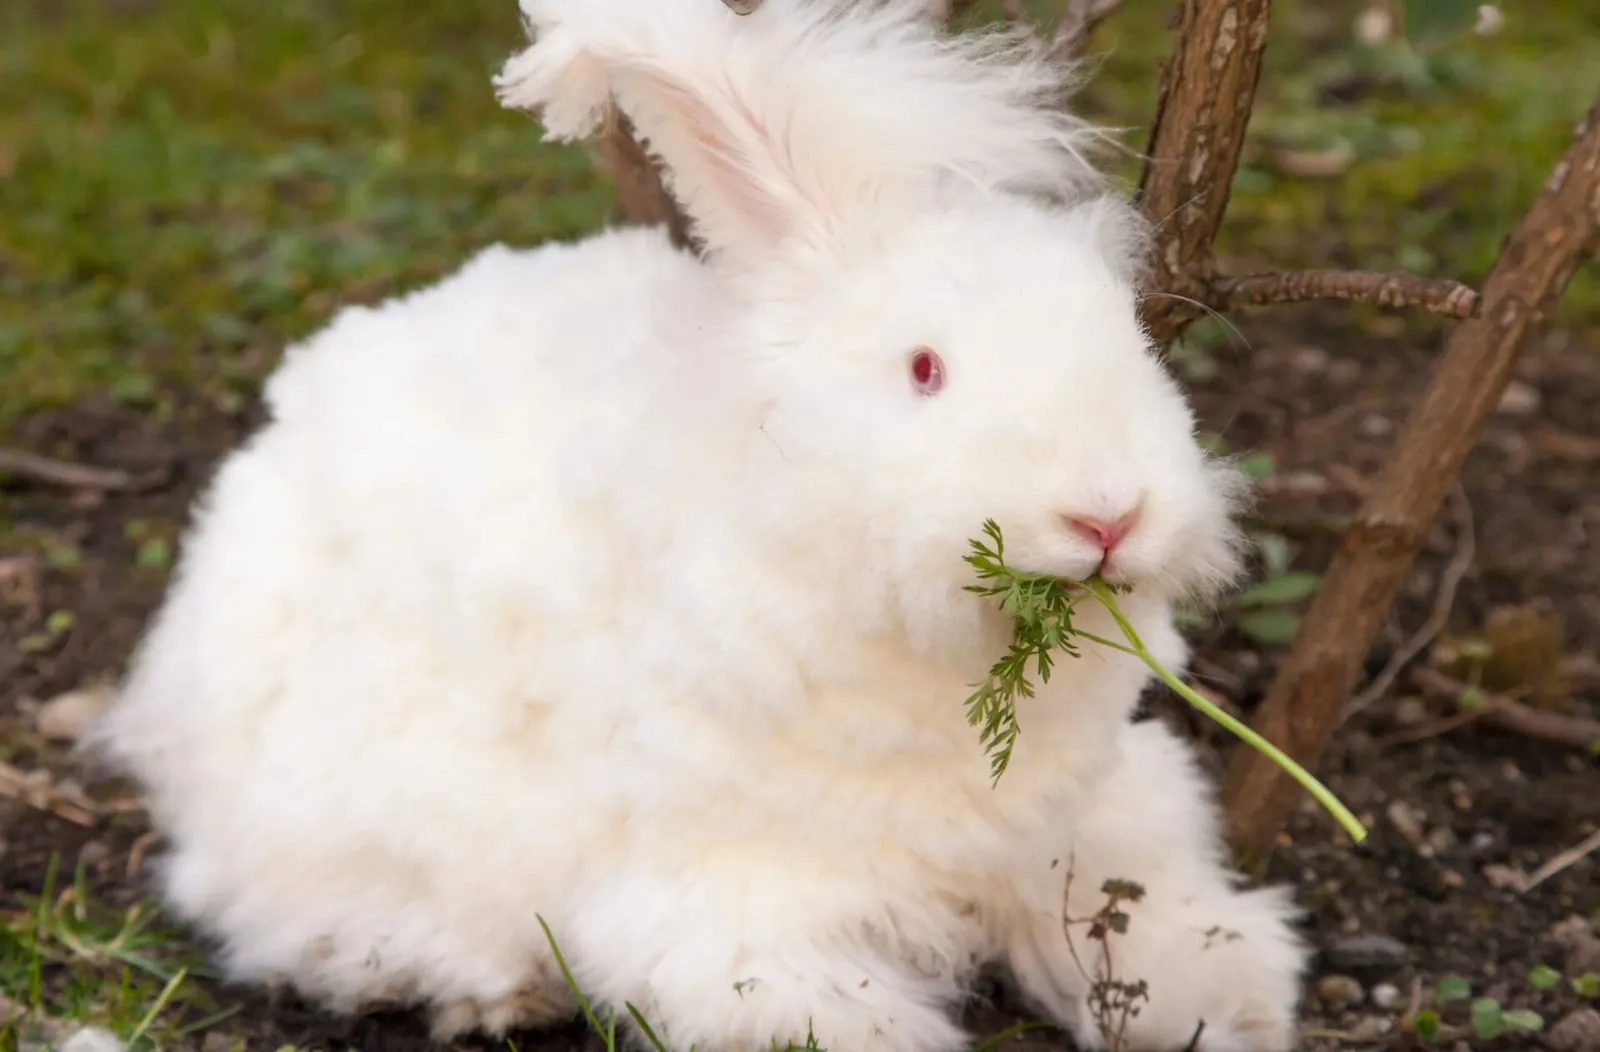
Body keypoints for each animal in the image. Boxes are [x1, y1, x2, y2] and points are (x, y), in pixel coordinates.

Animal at [87, 0, 1310, 1050]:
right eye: (924, 368)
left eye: (1132, 343)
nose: (1108, 512)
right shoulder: (737, 889)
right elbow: (793, 997)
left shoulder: (1086, 817)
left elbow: (1145, 908)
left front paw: (1235, 999)